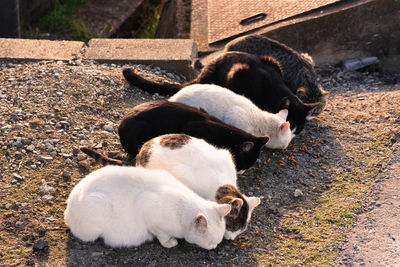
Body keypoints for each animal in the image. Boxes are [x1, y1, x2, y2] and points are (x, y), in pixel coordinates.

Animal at [63, 166, 230, 250]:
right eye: (212, 241)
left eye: (218, 240)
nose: (215, 246)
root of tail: (68, 208)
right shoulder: (147, 206)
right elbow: (162, 235)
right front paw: (170, 242)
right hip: (99, 206)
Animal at [81, 134, 262, 241]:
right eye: (232, 226)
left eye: (240, 230)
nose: (231, 239)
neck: (221, 184)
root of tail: (141, 150)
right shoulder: (182, 176)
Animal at [122, 51, 318, 134]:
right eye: (291, 123)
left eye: (299, 128)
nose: (293, 133)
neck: (273, 88)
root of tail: (204, 72)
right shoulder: (240, 74)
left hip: (272, 60)